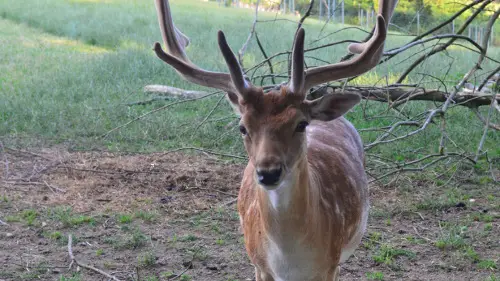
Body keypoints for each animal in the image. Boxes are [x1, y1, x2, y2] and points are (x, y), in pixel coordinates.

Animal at [152, 1, 398, 278]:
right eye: (243, 127)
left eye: (301, 124)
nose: (268, 172)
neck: (289, 263)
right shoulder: (259, 265)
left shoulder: (330, 265)